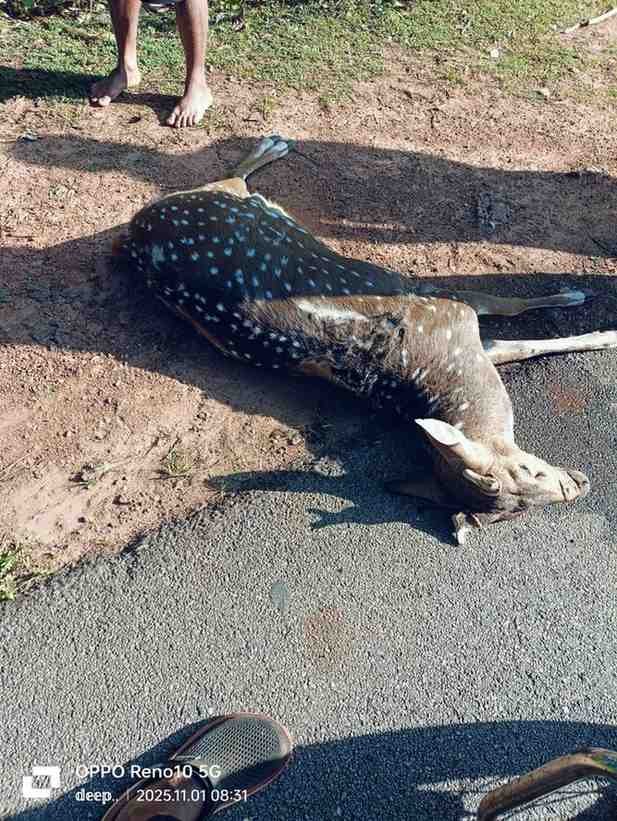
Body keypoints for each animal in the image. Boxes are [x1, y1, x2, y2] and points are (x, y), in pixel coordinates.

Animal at [117, 135, 617, 544]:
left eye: (520, 513)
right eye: (531, 478)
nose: (583, 484)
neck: (438, 377)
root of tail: (136, 226)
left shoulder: (469, 332)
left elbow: (523, 343)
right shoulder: (448, 304)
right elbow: (514, 309)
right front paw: (592, 313)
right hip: (224, 201)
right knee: (230, 180)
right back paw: (272, 144)